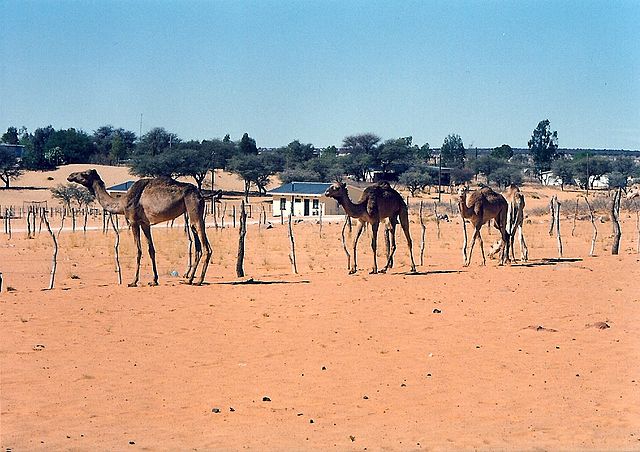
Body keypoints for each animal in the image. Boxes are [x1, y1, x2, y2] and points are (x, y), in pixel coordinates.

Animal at [68, 169, 212, 286]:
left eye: (84, 173)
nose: (70, 176)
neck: (121, 202)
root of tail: (200, 195)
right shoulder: (145, 224)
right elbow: (151, 250)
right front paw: (154, 280)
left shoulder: (133, 221)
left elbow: (138, 250)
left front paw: (133, 281)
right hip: (191, 213)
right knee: (198, 246)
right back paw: (189, 279)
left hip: (194, 209)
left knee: (206, 247)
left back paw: (199, 281)